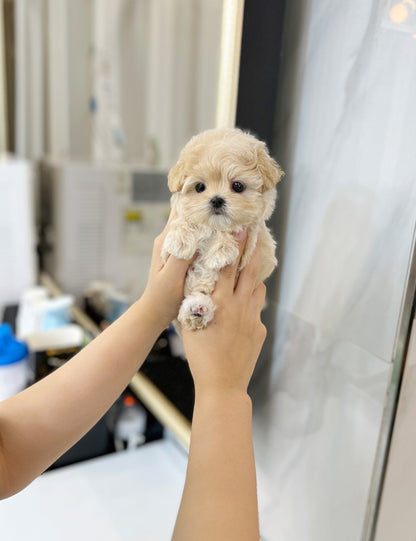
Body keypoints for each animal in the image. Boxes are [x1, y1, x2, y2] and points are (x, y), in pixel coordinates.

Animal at [162, 127, 282, 330]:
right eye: (199, 187)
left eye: (238, 186)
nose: (217, 200)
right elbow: (186, 222)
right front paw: (180, 240)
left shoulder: (255, 243)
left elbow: (235, 231)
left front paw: (220, 252)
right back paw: (194, 311)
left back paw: (198, 309)